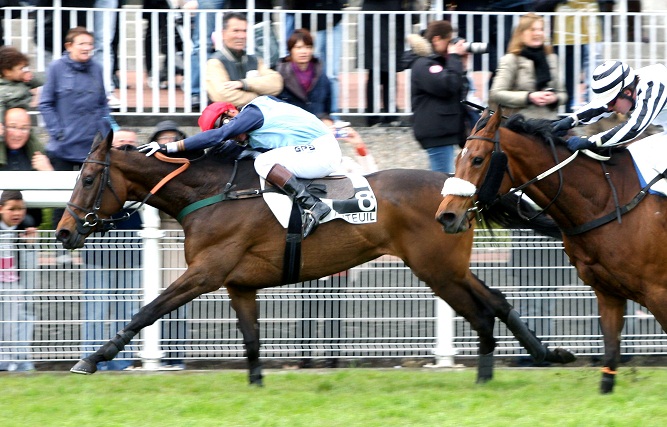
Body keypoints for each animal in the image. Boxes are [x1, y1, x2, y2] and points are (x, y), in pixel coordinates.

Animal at [56, 132, 576, 386]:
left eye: (88, 179)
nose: (63, 232)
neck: (211, 192)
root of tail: (459, 193)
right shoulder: (239, 283)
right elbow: (250, 341)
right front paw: (256, 383)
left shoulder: (205, 272)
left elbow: (147, 311)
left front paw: (92, 359)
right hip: (447, 268)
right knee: (497, 299)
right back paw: (544, 352)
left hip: (436, 269)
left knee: (483, 311)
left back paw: (494, 368)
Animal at [436, 106, 667, 394]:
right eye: (458, 158)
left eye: (478, 160)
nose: (446, 215)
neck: (607, 200)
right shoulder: (608, 292)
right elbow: (610, 357)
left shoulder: (658, 292)